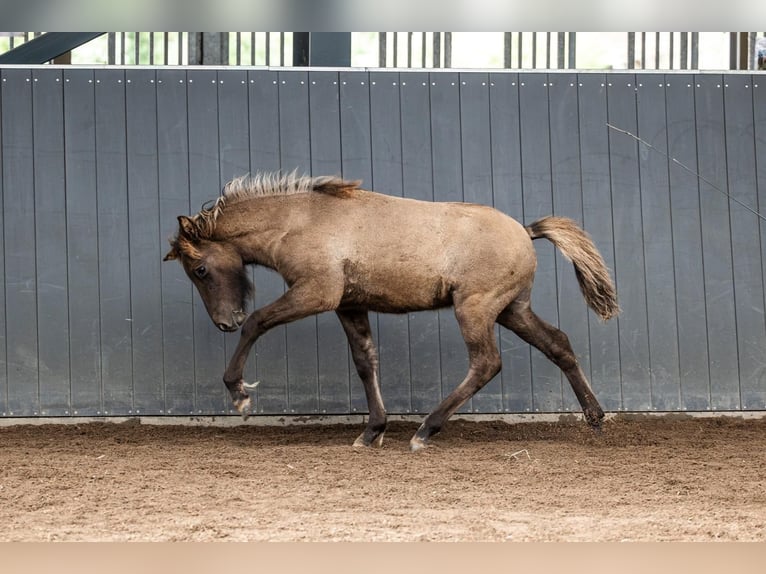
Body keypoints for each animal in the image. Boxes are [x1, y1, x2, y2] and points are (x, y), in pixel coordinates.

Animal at [164, 172, 619, 451]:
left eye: (200, 270)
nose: (225, 322)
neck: (300, 221)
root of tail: (524, 231)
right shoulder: (349, 305)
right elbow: (366, 361)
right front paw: (372, 431)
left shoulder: (317, 293)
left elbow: (259, 322)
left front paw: (239, 393)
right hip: (512, 310)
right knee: (558, 344)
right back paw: (596, 419)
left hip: (475, 309)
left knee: (487, 363)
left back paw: (425, 430)